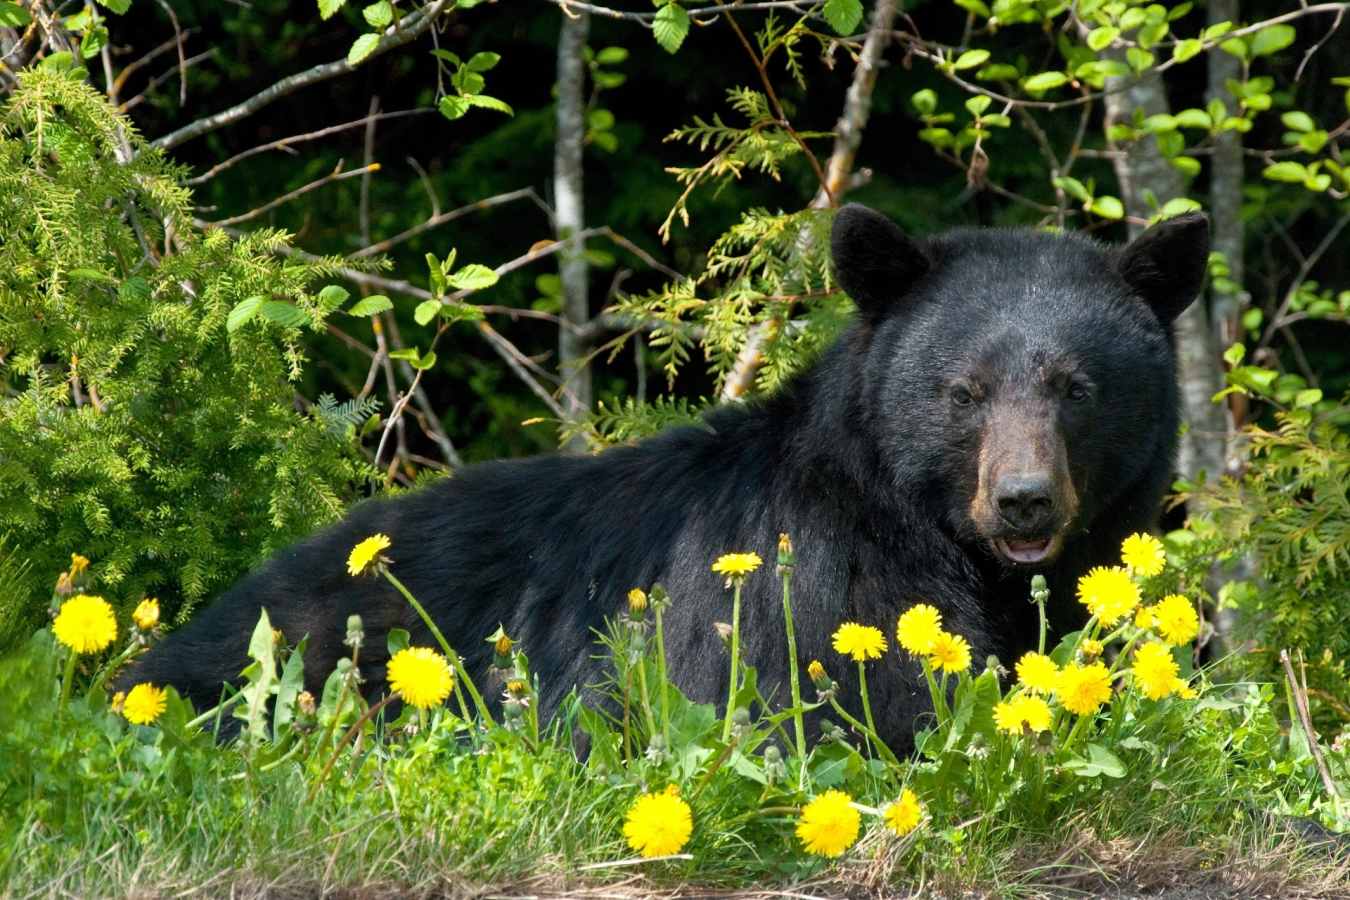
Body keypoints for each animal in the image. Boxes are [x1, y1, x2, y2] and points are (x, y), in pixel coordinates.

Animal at [121, 204, 1209, 753]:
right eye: (964, 390)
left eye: (1076, 387)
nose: (1023, 500)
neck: (923, 527)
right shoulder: (818, 586)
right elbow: (855, 704)